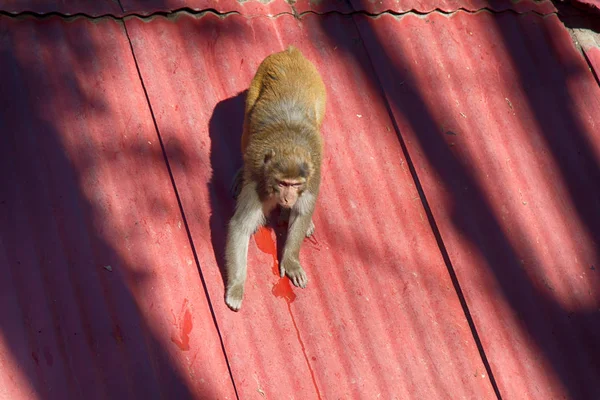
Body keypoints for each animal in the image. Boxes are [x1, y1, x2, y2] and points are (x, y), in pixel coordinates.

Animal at [224, 45, 326, 310]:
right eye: (282, 183)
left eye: (295, 184)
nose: (288, 198)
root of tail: (291, 52)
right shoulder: (258, 185)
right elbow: (241, 226)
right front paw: (236, 287)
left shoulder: (313, 179)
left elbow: (302, 213)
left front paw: (291, 260)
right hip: (255, 85)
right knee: (247, 125)